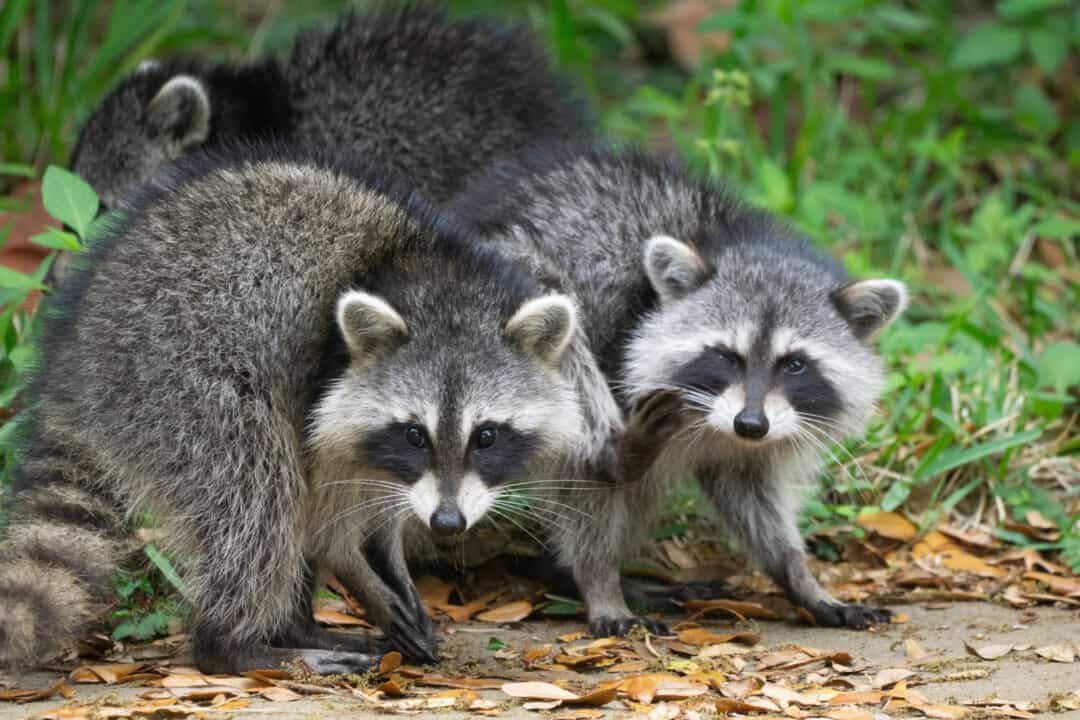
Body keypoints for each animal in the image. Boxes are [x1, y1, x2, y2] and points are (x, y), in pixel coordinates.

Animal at [0, 144, 591, 674]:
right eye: (415, 434)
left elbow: (379, 497)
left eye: (486, 435)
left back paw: (294, 625)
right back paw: (237, 645)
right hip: (178, 377)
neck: (447, 287)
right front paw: (360, 571)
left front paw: (388, 557)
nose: (447, 523)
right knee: (257, 495)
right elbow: (324, 510)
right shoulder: (323, 383)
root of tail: (75, 358)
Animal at [451, 145, 907, 633]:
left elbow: (748, 491)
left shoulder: (748, 435)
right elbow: (585, 484)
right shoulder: (616, 343)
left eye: (795, 364)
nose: (751, 424)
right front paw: (600, 583)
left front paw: (797, 575)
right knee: (553, 307)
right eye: (727, 356)